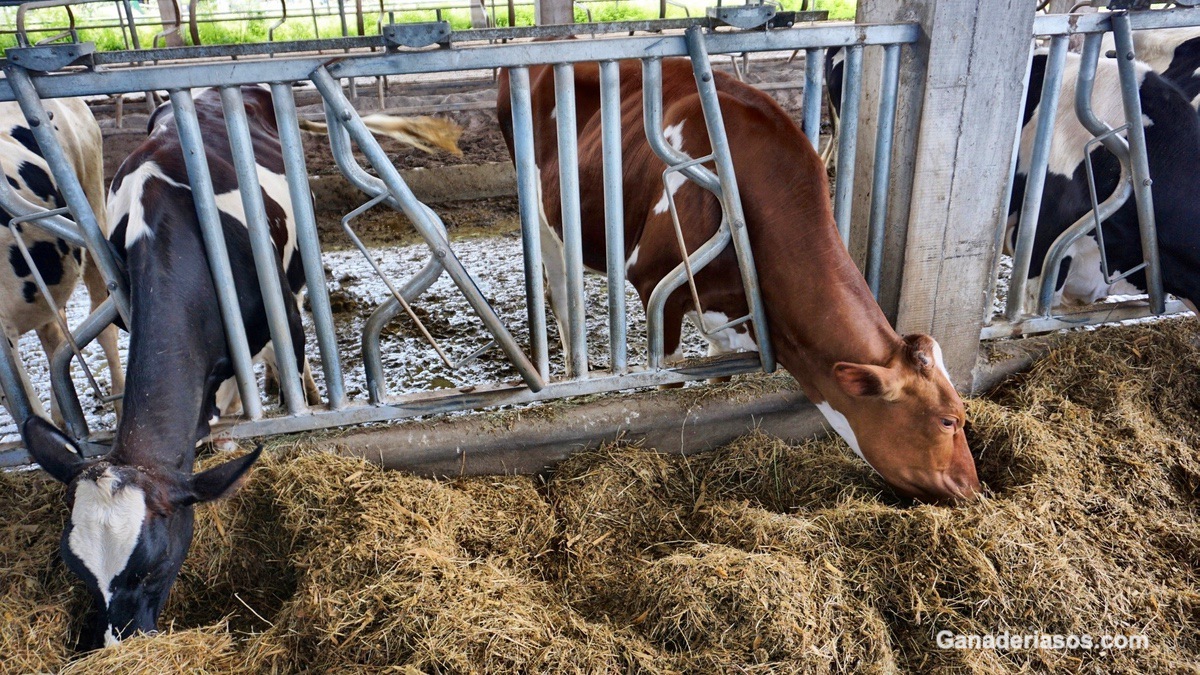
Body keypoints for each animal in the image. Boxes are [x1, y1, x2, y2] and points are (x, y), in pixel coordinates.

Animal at [501, 57, 979, 502]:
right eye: (948, 420)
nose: (973, 488)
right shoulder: (657, 289)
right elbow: (671, 382)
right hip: (542, 213)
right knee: (560, 290)